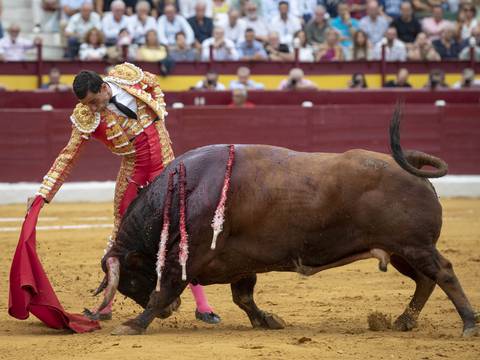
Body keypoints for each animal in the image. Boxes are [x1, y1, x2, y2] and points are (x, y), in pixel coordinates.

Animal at [92, 107, 478, 338]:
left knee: (443, 273)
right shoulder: (239, 262)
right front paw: (268, 321)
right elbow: (243, 298)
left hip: (415, 246)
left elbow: (164, 290)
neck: (188, 189)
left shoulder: (189, 258)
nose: (172, 314)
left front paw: (132, 325)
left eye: (130, 277)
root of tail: (408, 164)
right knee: (425, 281)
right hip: (401, 251)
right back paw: (404, 320)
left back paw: (469, 325)